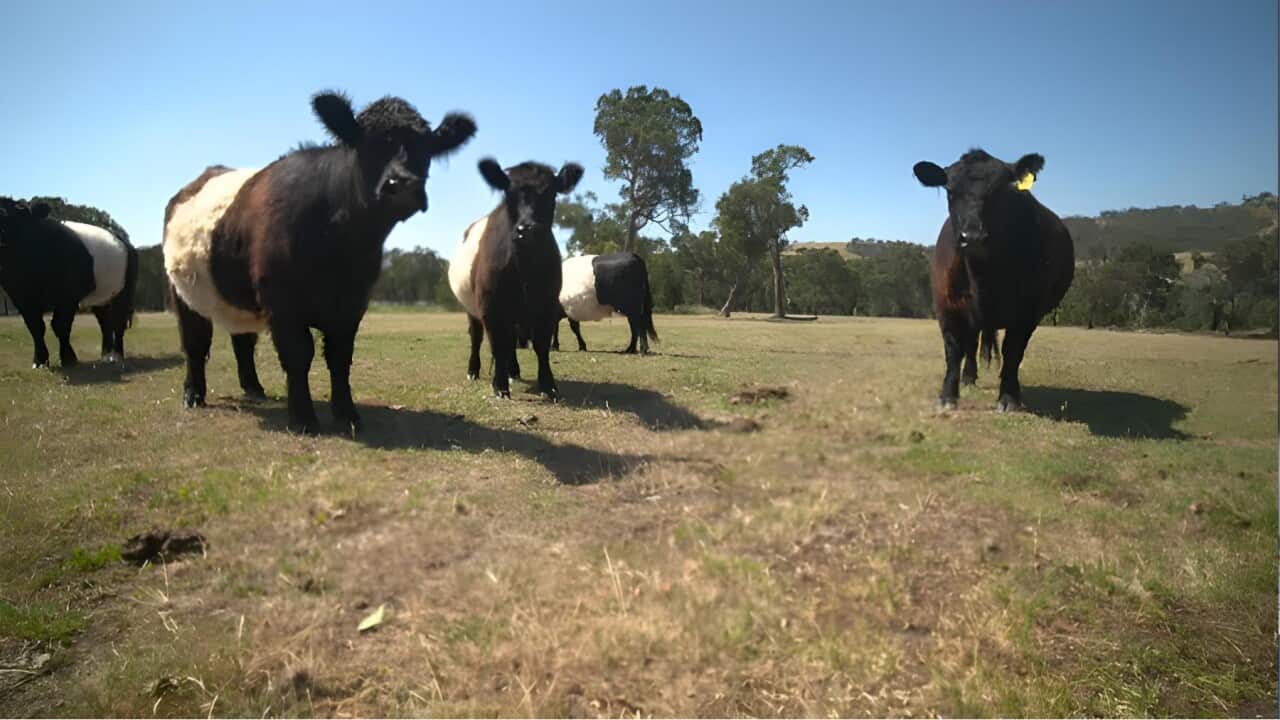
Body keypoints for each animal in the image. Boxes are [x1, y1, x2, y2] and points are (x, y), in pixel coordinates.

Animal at [0, 197, 137, 368]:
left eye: (21, 214)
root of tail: (124, 241)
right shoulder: (20, 297)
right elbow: (35, 327)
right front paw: (39, 361)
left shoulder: (68, 296)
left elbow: (60, 325)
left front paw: (68, 358)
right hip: (101, 296)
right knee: (105, 322)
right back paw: (106, 355)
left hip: (124, 292)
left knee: (118, 322)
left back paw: (117, 356)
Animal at [163, 91, 475, 434]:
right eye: (365, 142)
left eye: (426, 148)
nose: (402, 184)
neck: (341, 245)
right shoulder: (283, 302)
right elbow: (299, 354)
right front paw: (302, 417)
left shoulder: (352, 304)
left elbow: (339, 358)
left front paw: (347, 414)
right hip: (184, 295)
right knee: (195, 343)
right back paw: (193, 394)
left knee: (242, 341)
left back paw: (255, 389)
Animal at [448, 158, 583, 399]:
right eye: (508, 192)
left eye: (551, 193)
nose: (527, 229)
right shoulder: (490, 306)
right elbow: (497, 344)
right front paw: (500, 385)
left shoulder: (547, 305)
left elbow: (541, 345)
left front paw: (548, 385)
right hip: (471, 309)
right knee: (477, 337)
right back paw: (474, 370)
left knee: (510, 340)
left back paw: (514, 371)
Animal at [913, 149, 1074, 411]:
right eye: (950, 191)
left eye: (1001, 191)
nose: (973, 236)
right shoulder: (946, 305)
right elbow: (953, 349)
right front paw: (947, 396)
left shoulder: (1029, 312)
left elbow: (1013, 352)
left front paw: (1009, 397)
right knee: (970, 344)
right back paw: (968, 378)